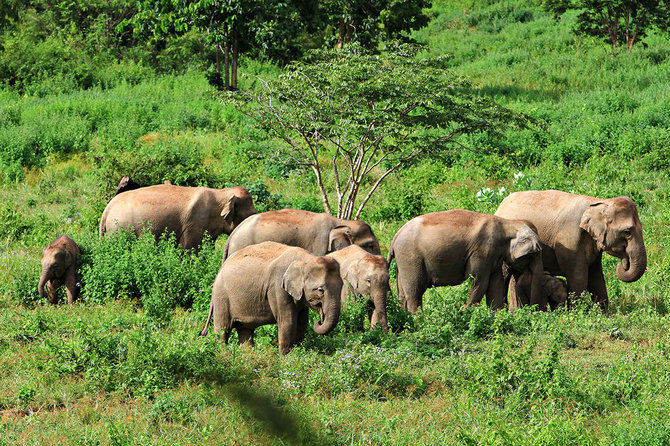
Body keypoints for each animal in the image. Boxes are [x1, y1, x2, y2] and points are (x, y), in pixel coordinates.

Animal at [100, 182, 258, 251]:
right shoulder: (194, 224)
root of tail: (106, 210)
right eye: (251, 214)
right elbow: (189, 251)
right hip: (119, 230)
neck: (221, 193)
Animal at [200, 242, 344, 354]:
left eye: (342, 286)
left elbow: (302, 322)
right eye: (320, 290)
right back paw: (222, 354)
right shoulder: (278, 288)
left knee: (245, 331)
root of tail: (221, 268)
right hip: (221, 297)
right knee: (222, 331)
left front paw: (296, 353)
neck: (306, 258)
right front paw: (286, 358)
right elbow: (288, 321)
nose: (320, 320)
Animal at [388, 210, 544, 312]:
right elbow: (478, 282)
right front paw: (462, 312)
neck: (508, 223)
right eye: (534, 254)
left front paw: (497, 316)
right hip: (410, 257)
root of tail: (395, 237)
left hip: (402, 262)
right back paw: (419, 320)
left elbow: (495, 284)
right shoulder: (482, 251)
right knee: (415, 291)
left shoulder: (493, 256)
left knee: (402, 294)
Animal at [496, 190, 648, 308]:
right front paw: (578, 314)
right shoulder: (570, 240)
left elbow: (596, 276)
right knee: (505, 274)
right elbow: (579, 276)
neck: (598, 202)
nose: (624, 262)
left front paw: (604, 314)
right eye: (627, 232)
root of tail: (500, 206)